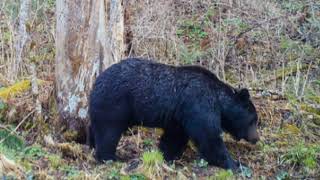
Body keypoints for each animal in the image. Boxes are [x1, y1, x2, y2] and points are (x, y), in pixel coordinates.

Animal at [88, 58, 260, 170]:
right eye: (253, 121)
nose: (256, 138)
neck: (219, 101)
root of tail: (95, 83)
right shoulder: (199, 104)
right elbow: (209, 137)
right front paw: (236, 164)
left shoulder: (180, 116)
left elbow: (174, 137)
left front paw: (166, 155)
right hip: (115, 104)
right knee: (108, 132)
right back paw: (109, 157)